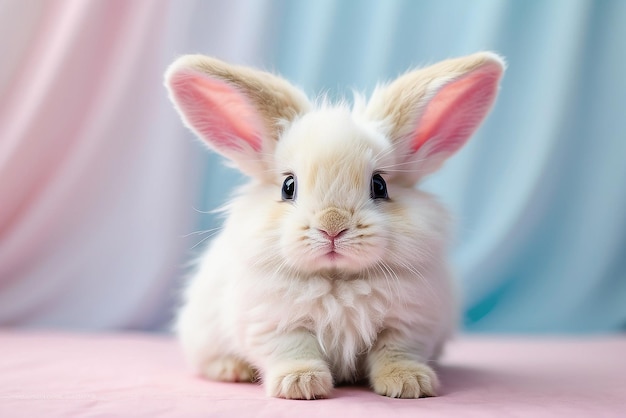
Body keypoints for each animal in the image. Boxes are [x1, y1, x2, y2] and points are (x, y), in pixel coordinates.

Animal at [165, 51, 502, 398]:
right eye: (288, 186)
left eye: (379, 185)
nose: (332, 225)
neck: (338, 280)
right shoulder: (274, 325)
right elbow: (294, 351)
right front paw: (301, 385)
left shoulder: (409, 325)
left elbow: (395, 353)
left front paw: (409, 384)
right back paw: (233, 370)